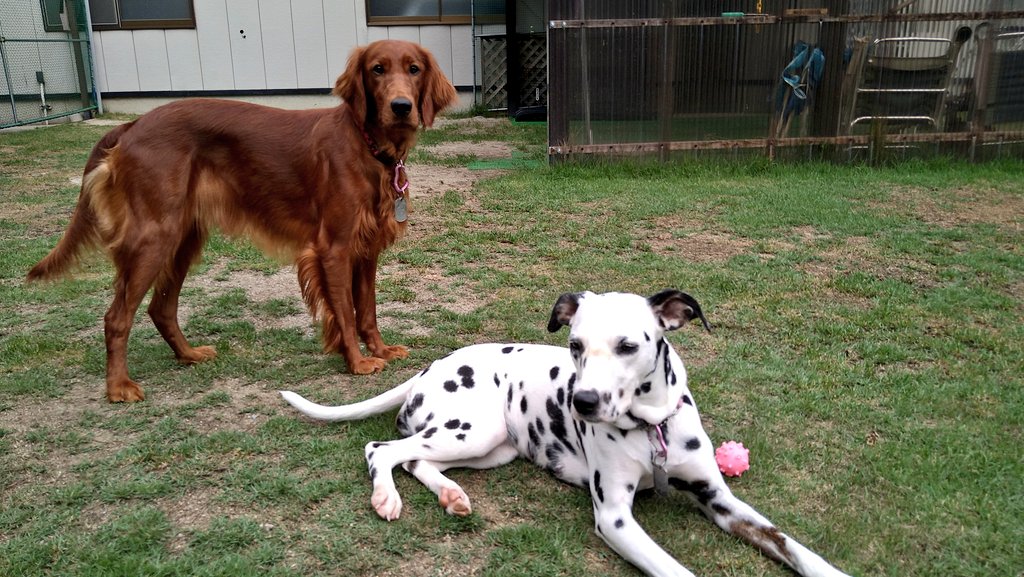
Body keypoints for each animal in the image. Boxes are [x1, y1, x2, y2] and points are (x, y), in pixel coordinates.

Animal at [25, 39, 458, 401]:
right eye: (377, 69)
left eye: (414, 69)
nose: (401, 106)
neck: (367, 146)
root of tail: (134, 125)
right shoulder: (333, 248)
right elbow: (346, 312)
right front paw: (358, 361)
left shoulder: (366, 248)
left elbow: (367, 308)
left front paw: (381, 348)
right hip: (154, 237)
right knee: (117, 316)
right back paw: (118, 387)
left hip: (183, 238)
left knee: (160, 308)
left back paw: (189, 354)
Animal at [278, 291, 847, 577]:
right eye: (574, 344)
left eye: (627, 345)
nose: (583, 402)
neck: (650, 427)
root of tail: (429, 366)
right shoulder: (615, 518)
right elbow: (673, 569)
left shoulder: (720, 499)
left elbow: (792, 545)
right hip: (472, 429)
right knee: (382, 448)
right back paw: (386, 498)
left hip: (491, 448)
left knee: (417, 459)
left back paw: (452, 495)